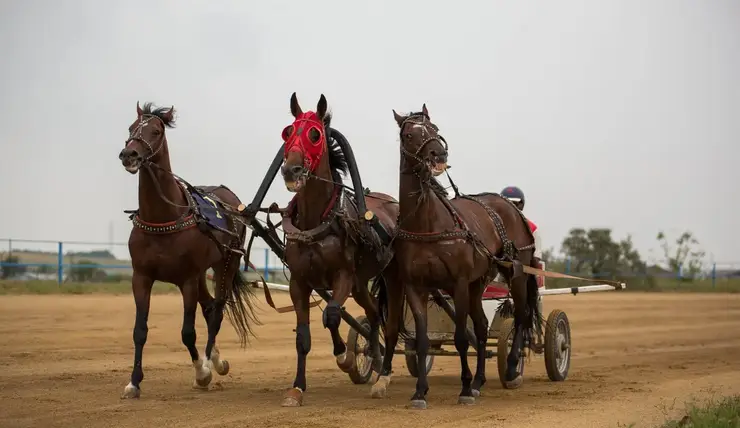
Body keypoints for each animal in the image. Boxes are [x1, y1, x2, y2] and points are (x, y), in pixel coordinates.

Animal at [118, 102, 260, 400]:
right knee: (209, 307)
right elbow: (140, 331)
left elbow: (187, 333)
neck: (163, 218)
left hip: (225, 264)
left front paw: (201, 373)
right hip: (201, 274)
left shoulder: (187, 280)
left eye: (156, 130)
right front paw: (134, 383)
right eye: (131, 127)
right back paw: (216, 359)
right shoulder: (142, 277)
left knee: (216, 311)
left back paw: (209, 362)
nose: (129, 155)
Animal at [276, 92, 398, 406]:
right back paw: (374, 357)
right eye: (287, 132)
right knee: (373, 313)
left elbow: (330, 315)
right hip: (360, 283)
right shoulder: (299, 282)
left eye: (315, 134)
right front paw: (296, 388)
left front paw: (344, 355)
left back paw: (383, 368)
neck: (317, 221)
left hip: (388, 276)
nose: (290, 170)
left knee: (389, 320)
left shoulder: (342, 275)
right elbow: (302, 337)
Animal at [372, 104, 540, 408]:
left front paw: (463, 389)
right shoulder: (416, 286)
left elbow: (462, 337)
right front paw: (420, 392)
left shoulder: (458, 283)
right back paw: (478, 382)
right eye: (409, 134)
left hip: (516, 271)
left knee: (521, 316)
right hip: (479, 283)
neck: (428, 223)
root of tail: (509, 206)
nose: (439, 154)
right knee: (483, 327)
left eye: (435, 128)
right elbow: (423, 340)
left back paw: (511, 367)